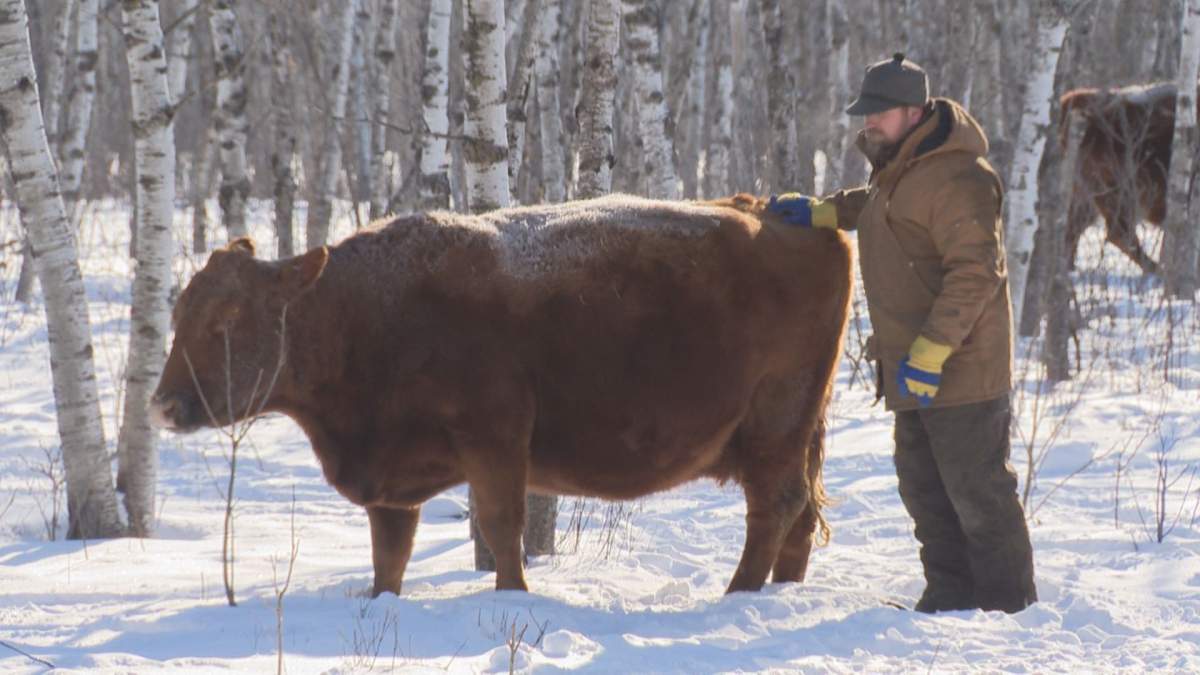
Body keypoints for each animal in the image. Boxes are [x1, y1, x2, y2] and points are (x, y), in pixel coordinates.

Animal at [149, 194, 853, 597]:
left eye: (228, 320)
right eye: (179, 313)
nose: (164, 406)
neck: (367, 312)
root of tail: (793, 220)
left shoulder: (493, 440)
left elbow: (499, 525)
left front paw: (511, 596)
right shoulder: (395, 480)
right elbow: (389, 553)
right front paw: (382, 602)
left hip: (774, 426)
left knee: (776, 506)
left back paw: (738, 592)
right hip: (797, 432)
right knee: (801, 514)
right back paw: (778, 594)